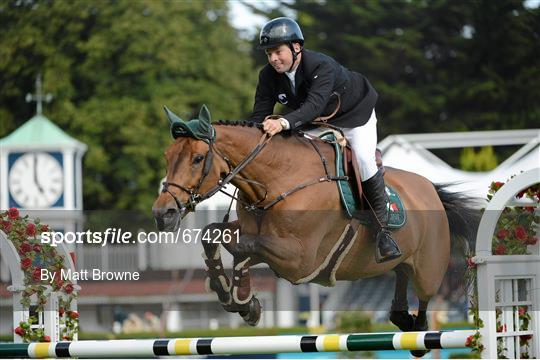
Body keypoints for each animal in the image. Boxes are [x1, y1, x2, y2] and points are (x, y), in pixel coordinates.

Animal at [152, 105, 476, 358]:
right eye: (166, 156)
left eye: (197, 159)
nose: (162, 214)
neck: (278, 181)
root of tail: (431, 190)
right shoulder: (263, 241)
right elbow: (214, 234)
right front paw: (231, 292)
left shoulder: (299, 260)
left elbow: (243, 246)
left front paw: (241, 299)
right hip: (400, 261)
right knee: (400, 273)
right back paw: (401, 317)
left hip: (429, 268)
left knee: (423, 297)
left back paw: (418, 334)